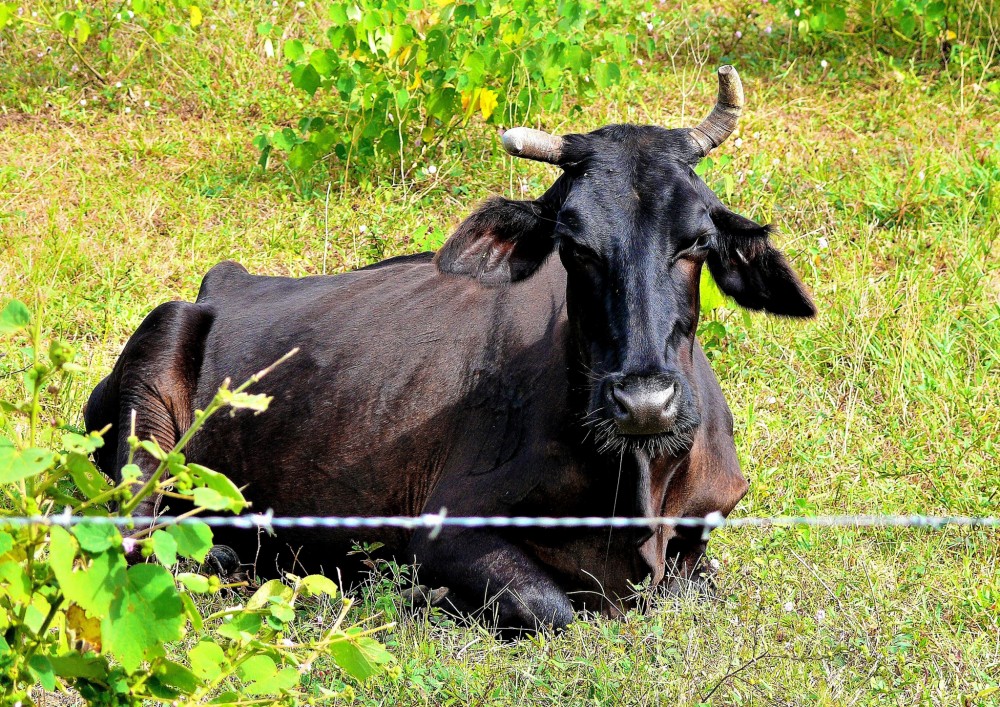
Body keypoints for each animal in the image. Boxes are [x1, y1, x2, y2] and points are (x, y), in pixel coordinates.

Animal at [88, 66, 812, 632]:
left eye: (697, 241)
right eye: (574, 244)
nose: (643, 403)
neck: (637, 484)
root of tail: (222, 282)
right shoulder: (443, 531)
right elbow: (552, 608)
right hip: (153, 378)